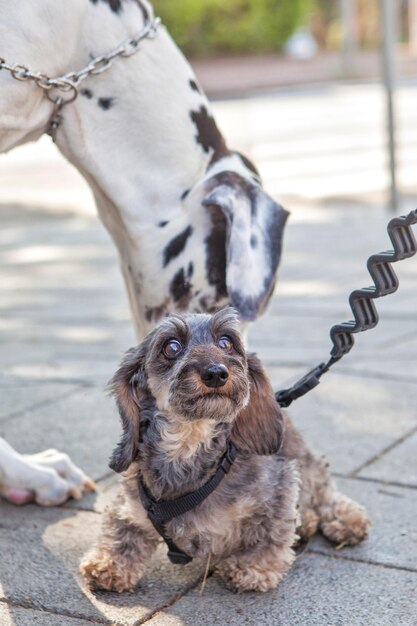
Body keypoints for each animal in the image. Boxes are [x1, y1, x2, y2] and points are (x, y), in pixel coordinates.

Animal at [79, 308, 368, 588]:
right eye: (171, 347)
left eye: (226, 342)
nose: (216, 373)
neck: (188, 442)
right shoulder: (130, 501)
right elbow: (122, 529)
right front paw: (109, 563)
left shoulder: (281, 485)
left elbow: (270, 534)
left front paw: (250, 567)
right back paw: (307, 522)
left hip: (307, 465)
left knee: (325, 494)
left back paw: (345, 520)